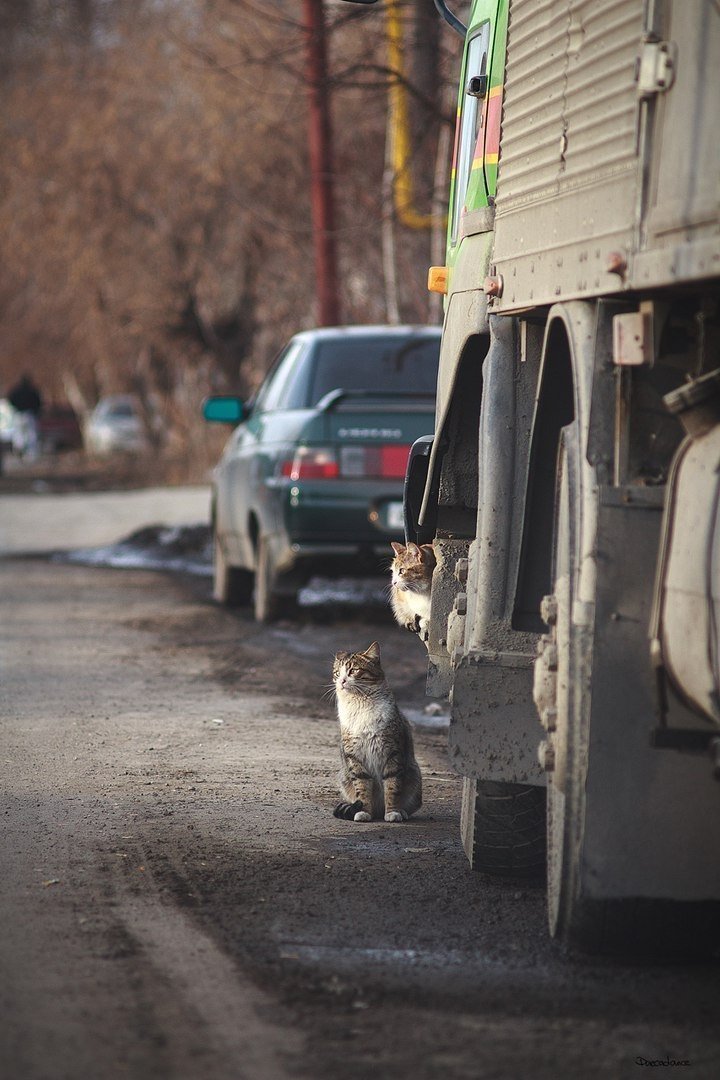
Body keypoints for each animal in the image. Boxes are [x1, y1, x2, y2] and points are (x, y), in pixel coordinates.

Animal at [332, 639, 423, 825]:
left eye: (353, 671)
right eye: (337, 673)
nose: (342, 681)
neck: (360, 705)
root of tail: (379, 811)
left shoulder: (393, 752)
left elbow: (392, 785)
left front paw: (393, 812)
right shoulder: (355, 756)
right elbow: (362, 787)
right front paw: (363, 812)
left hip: (414, 775)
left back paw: (400, 812)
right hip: (344, 777)